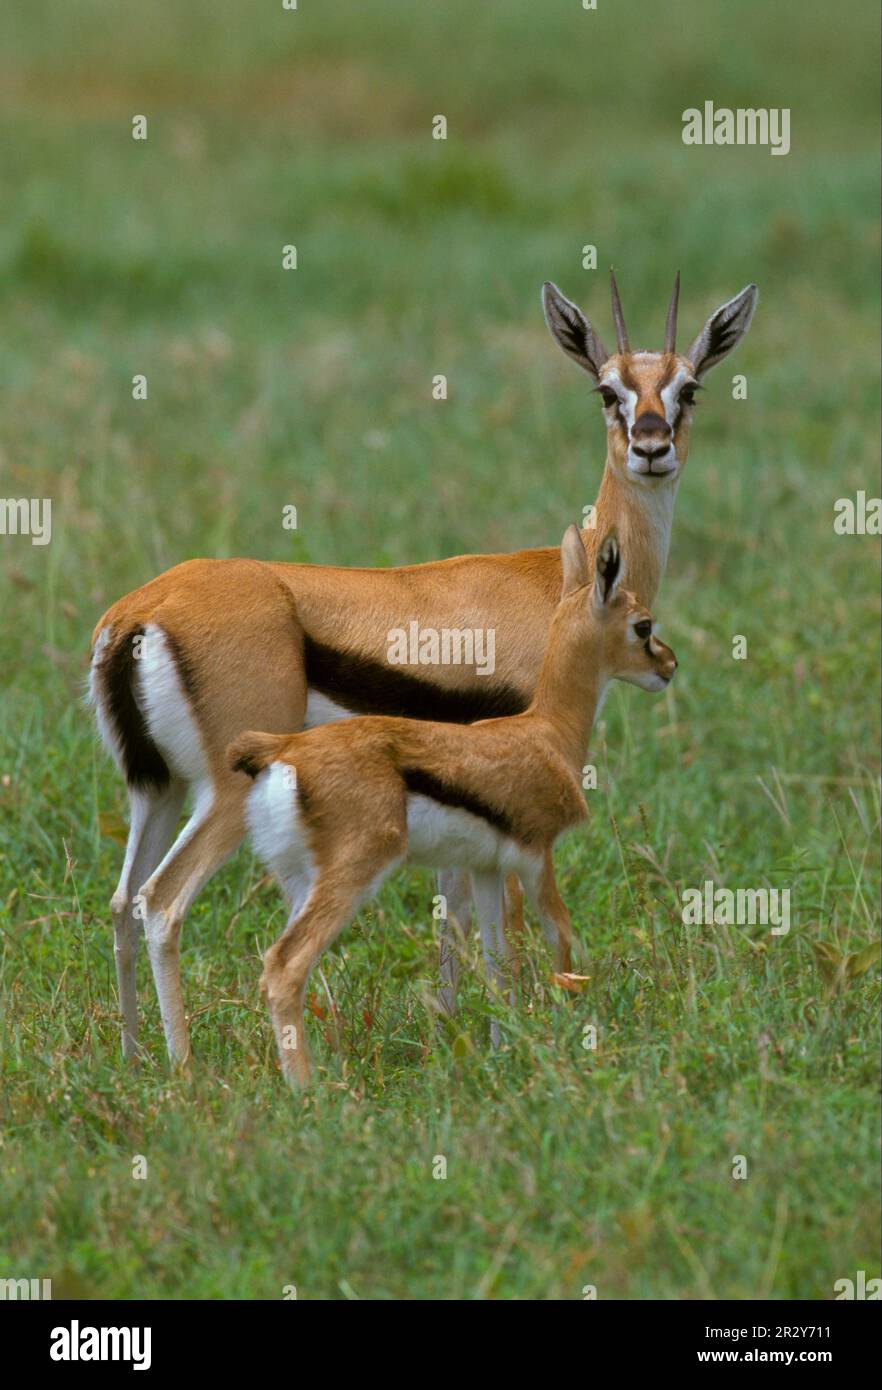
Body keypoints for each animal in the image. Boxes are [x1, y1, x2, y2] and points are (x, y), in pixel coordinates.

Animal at [227, 528, 677, 1084]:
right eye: (643, 625)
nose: (669, 665)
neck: (547, 733)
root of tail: (281, 750)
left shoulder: (486, 868)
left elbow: (498, 961)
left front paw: (504, 1051)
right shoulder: (537, 857)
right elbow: (562, 941)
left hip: (298, 880)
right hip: (353, 873)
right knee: (285, 966)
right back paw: (310, 1090)